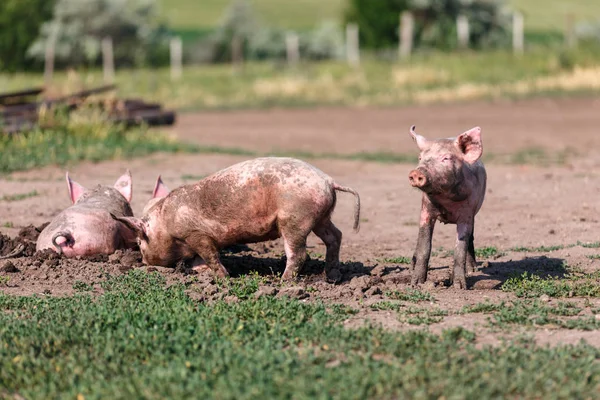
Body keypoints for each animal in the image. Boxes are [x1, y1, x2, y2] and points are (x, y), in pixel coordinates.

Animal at [115, 156, 364, 282]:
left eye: (140, 241)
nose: (144, 261)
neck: (166, 222)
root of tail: (328, 181)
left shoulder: (196, 234)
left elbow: (210, 255)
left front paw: (225, 278)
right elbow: (200, 259)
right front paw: (200, 272)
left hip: (295, 218)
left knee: (299, 253)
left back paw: (283, 283)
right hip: (321, 217)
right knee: (335, 236)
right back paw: (332, 277)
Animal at [406, 124, 486, 288]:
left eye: (446, 158)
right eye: (420, 158)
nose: (417, 172)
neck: (446, 199)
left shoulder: (467, 213)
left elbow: (460, 248)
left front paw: (459, 286)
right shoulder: (426, 209)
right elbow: (424, 245)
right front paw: (415, 284)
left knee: (471, 238)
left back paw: (472, 270)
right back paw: (411, 266)